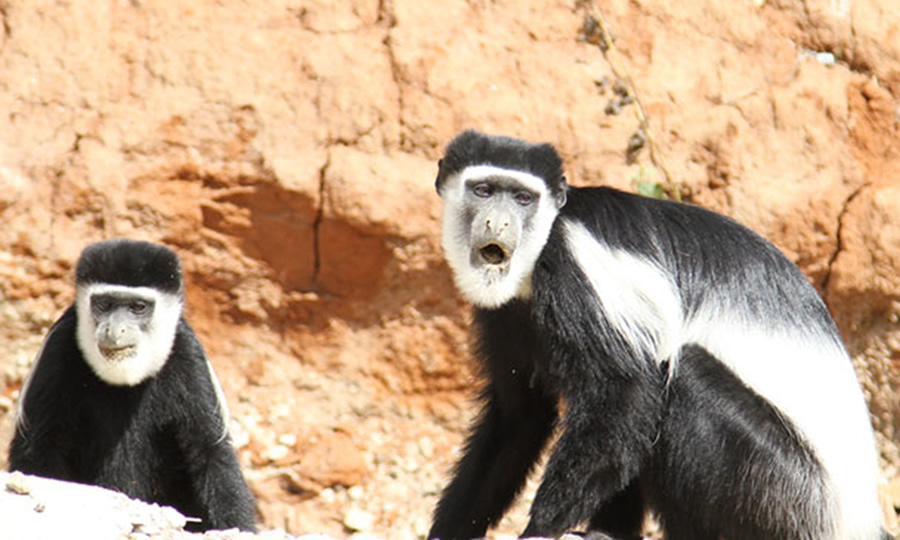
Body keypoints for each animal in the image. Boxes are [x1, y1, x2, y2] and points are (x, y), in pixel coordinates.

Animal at [8, 239, 256, 532]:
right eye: (104, 304)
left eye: (138, 307)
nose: (115, 330)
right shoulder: (57, 350)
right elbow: (41, 445)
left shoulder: (189, 356)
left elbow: (210, 451)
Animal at [428, 131, 884, 540]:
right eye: (484, 190)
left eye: (523, 199)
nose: (498, 222)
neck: (537, 252)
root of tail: (854, 517)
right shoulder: (505, 315)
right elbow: (518, 417)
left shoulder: (574, 270)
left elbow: (623, 393)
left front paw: (539, 529)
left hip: (781, 493)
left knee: (679, 383)